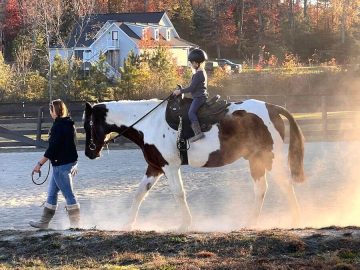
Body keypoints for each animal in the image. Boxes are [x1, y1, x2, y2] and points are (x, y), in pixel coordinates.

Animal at [83, 96, 304, 231]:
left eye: (87, 125)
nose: (89, 152)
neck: (149, 123)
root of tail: (272, 107)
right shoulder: (155, 167)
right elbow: (139, 194)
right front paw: (127, 225)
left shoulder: (170, 167)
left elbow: (179, 193)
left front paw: (185, 224)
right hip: (256, 160)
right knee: (261, 189)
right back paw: (251, 222)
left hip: (269, 158)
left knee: (285, 184)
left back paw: (296, 218)